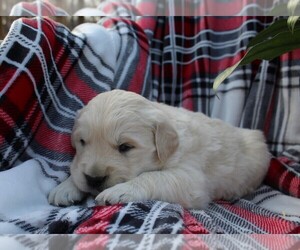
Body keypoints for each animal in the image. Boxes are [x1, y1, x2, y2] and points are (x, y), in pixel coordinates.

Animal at [48, 89, 270, 208]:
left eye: (125, 147)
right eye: (82, 142)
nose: (94, 179)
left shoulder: (191, 179)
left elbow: (153, 177)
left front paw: (119, 191)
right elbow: (77, 170)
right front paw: (66, 187)